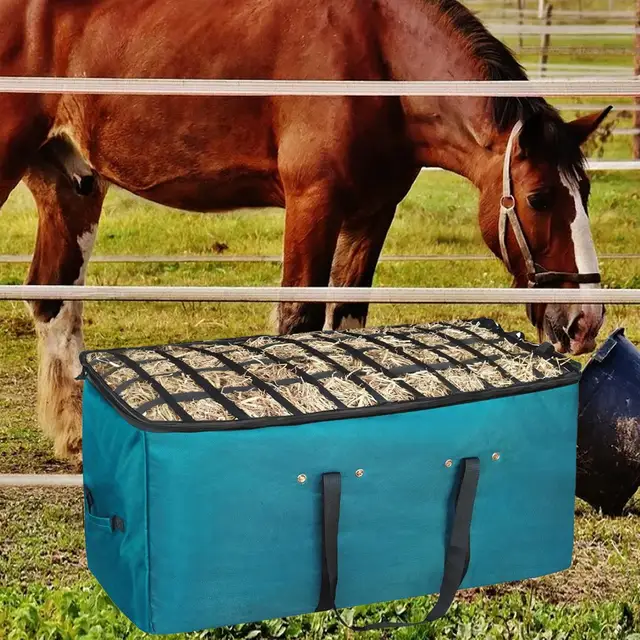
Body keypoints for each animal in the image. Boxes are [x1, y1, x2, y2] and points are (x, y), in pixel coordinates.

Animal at [0, 0, 609, 464]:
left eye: (586, 192)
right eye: (538, 197)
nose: (585, 321)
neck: (380, 62)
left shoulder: (371, 214)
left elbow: (346, 323)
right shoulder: (313, 204)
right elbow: (299, 323)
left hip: (72, 183)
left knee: (55, 297)